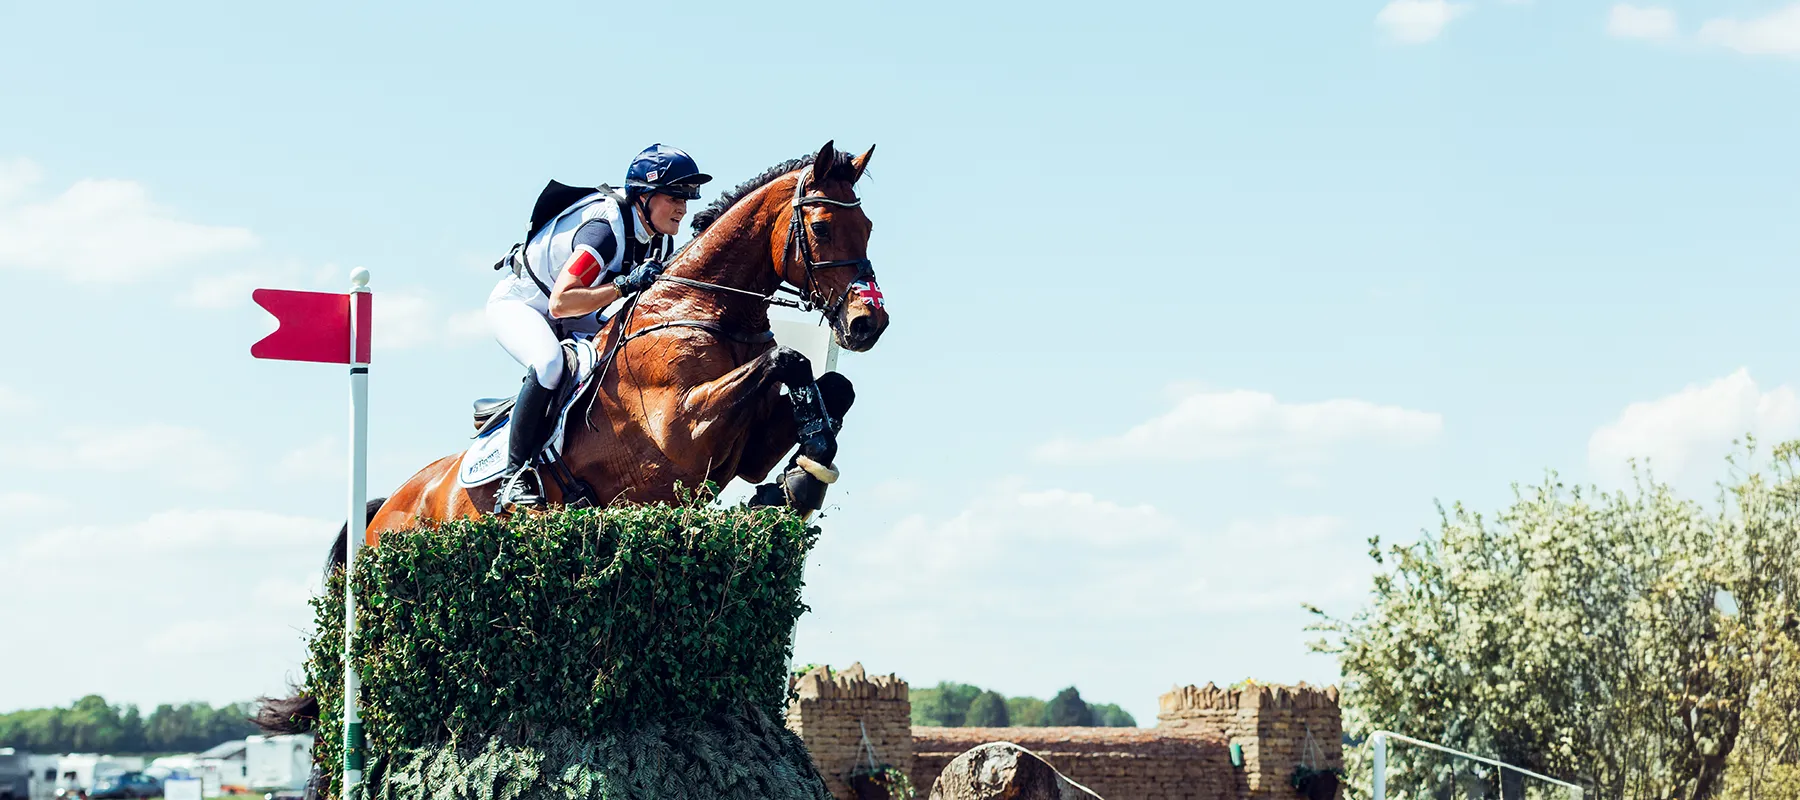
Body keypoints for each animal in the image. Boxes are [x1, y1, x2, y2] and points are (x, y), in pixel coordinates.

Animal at [254, 140, 887, 735]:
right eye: (823, 227)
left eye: (868, 227)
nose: (868, 324)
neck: (701, 307)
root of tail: (388, 507)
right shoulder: (680, 428)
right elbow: (792, 360)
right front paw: (801, 480)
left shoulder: (745, 447)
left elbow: (832, 385)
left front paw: (799, 481)